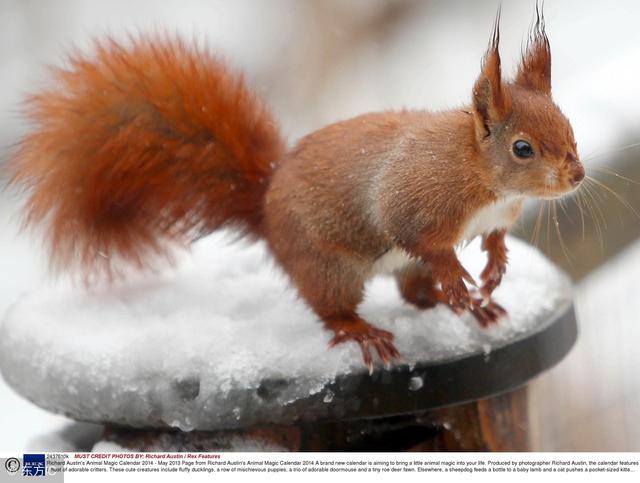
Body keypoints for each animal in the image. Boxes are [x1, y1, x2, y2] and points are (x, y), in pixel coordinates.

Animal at [10, 9, 584, 370]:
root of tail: (264, 211)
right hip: (329, 267)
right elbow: (417, 235)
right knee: (335, 309)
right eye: (523, 149)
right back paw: (366, 329)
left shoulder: (497, 216)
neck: (485, 181)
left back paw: (475, 308)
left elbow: (495, 238)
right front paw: (460, 276)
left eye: (568, 125)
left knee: (413, 294)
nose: (577, 175)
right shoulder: (415, 197)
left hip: (387, 270)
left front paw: (494, 268)